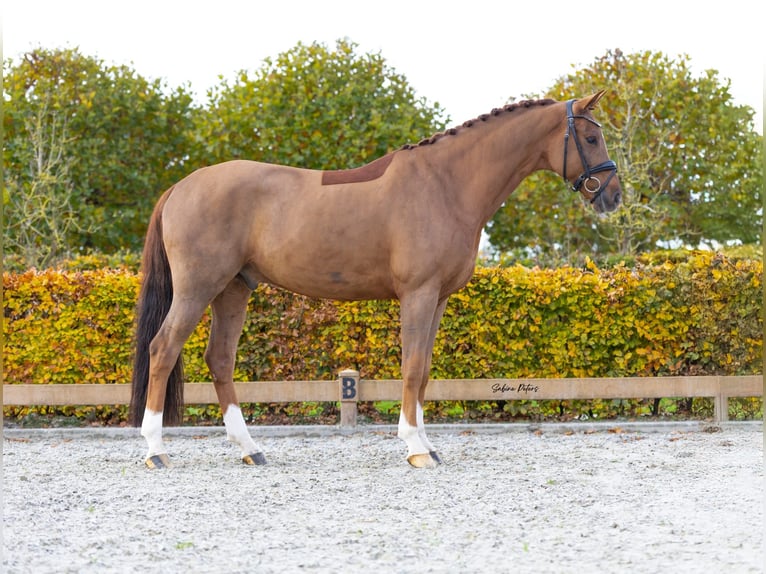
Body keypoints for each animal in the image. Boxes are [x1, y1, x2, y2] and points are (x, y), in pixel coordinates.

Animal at [129, 90, 621, 469]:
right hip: (197, 288)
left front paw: (428, 444)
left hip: (233, 288)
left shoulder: (438, 298)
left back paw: (250, 449)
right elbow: (412, 366)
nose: (613, 196)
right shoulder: (418, 293)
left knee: (220, 359)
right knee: (163, 349)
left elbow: (424, 370)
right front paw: (415, 448)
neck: (447, 184)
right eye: (591, 137)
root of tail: (180, 187)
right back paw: (155, 451)